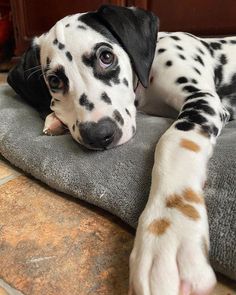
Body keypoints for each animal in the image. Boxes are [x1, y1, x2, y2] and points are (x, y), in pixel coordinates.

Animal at [7, 4, 234, 295]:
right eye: (55, 80)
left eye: (106, 56)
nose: (99, 135)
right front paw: (54, 118)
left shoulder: (203, 99)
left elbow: (173, 142)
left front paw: (167, 230)